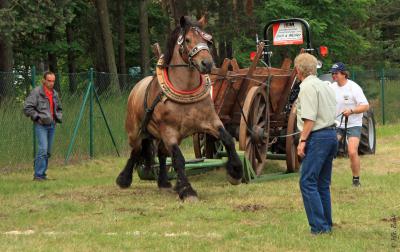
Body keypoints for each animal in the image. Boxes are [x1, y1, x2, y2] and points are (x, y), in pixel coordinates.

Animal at [115, 15, 244, 201]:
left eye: (209, 40)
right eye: (188, 40)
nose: (207, 63)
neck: (186, 91)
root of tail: (137, 87)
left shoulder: (210, 121)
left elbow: (227, 139)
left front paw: (236, 171)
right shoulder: (169, 131)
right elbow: (179, 159)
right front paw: (187, 190)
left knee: (161, 154)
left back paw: (164, 182)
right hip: (136, 131)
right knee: (136, 150)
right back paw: (124, 179)